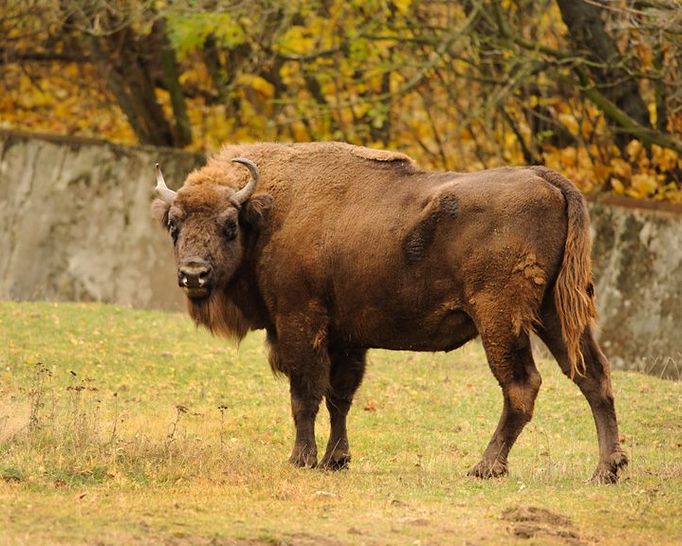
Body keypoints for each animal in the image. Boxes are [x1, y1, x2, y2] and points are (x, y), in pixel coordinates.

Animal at [153, 142, 628, 482]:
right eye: (174, 224)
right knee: (593, 376)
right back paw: (607, 470)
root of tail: (543, 177)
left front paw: (301, 459)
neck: (269, 212)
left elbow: (305, 396)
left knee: (522, 385)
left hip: (501, 319)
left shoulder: (300, 325)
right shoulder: (345, 339)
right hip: (555, 313)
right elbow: (339, 397)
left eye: (228, 225)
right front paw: (336, 460)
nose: (193, 274)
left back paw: (485, 467)